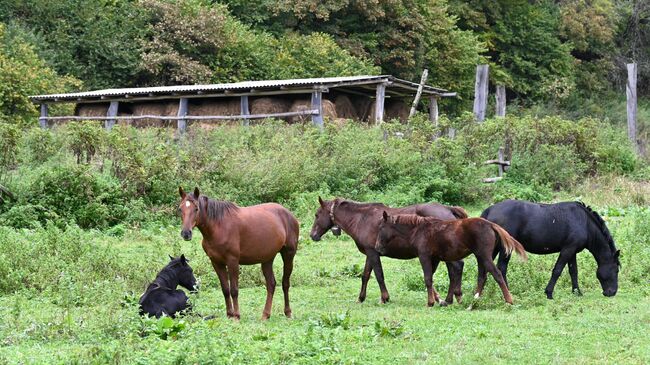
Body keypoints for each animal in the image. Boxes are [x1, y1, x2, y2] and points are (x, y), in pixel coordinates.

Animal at [177, 188, 298, 318]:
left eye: (196, 208)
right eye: (180, 209)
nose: (186, 233)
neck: (219, 227)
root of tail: (289, 214)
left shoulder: (233, 262)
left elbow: (234, 290)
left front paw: (236, 316)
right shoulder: (216, 263)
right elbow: (225, 289)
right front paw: (229, 314)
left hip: (288, 255)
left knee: (285, 283)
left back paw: (288, 312)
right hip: (267, 259)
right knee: (271, 284)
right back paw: (265, 315)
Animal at [308, 198, 466, 302]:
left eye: (317, 214)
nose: (312, 235)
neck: (361, 219)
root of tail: (448, 209)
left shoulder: (373, 253)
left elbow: (379, 275)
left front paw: (384, 298)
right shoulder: (370, 253)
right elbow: (365, 275)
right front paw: (361, 298)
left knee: (456, 267)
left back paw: (452, 297)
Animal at [374, 212, 528, 306]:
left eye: (381, 228)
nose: (377, 247)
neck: (420, 230)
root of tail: (491, 224)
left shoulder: (424, 256)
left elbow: (427, 278)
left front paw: (430, 303)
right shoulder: (435, 259)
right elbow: (434, 279)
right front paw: (441, 300)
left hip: (484, 256)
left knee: (496, 274)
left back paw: (508, 300)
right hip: (481, 256)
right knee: (482, 277)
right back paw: (474, 300)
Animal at [478, 199, 620, 298]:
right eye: (616, 270)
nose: (612, 292)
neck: (584, 223)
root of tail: (490, 209)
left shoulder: (572, 251)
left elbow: (573, 271)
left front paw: (577, 292)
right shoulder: (567, 250)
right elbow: (557, 270)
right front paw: (549, 293)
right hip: (505, 249)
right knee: (501, 268)